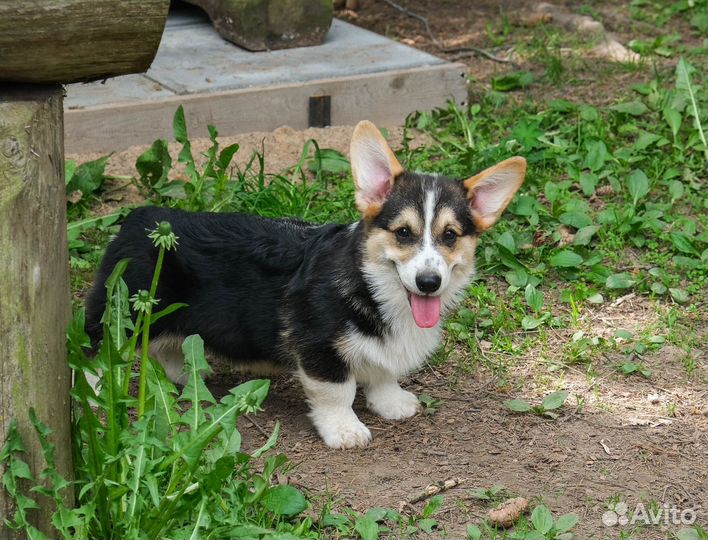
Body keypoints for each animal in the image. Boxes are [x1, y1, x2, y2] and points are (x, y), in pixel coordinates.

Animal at [85, 121, 524, 448]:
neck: (371, 285)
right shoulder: (318, 347)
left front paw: (393, 403)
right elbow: (338, 392)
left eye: (450, 236)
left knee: (167, 348)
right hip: (120, 315)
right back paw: (93, 390)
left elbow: (381, 374)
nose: (429, 282)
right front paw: (345, 430)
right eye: (403, 232)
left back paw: (184, 378)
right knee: (94, 352)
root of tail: (136, 219)